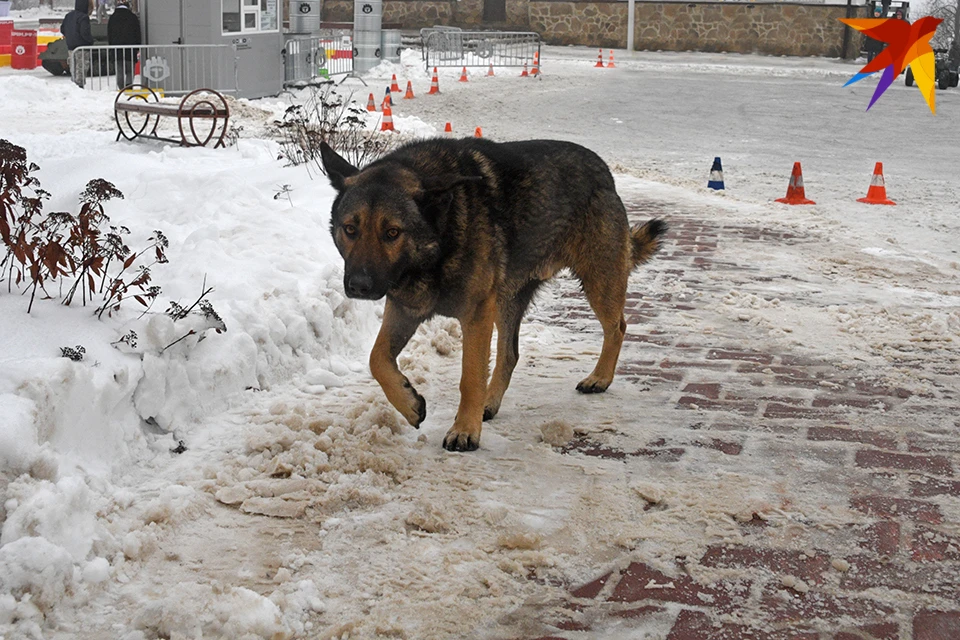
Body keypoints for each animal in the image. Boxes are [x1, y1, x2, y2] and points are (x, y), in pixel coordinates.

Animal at [318, 138, 664, 452]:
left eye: (392, 233)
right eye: (350, 229)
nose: (359, 286)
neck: (438, 239)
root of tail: (604, 171)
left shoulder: (475, 315)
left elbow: (470, 377)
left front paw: (464, 430)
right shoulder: (404, 309)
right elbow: (377, 358)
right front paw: (410, 403)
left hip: (598, 280)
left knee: (617, 327)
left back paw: (600, 378)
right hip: (508, 302)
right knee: (510, 353)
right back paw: (490, 401)